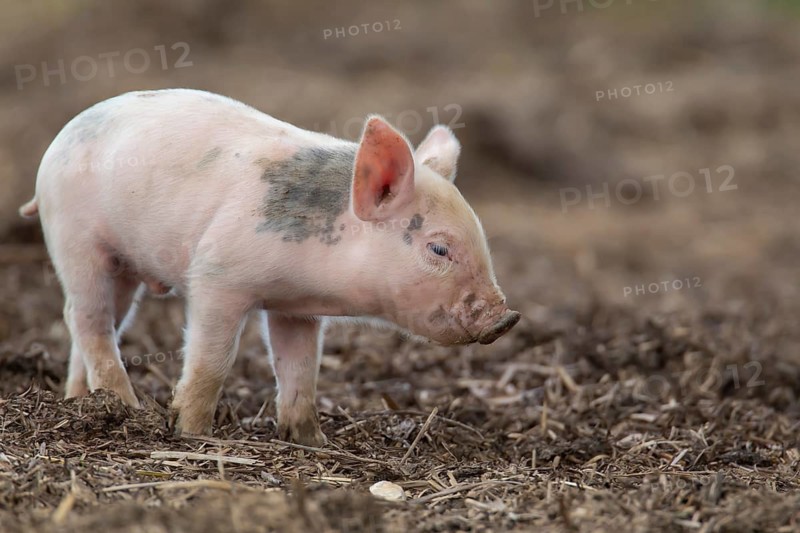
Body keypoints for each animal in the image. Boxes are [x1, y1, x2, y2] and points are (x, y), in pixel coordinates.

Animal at [19, 89, 520, 446]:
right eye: (439, 249)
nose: (507, 317)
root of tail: (59, 141)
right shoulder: (216, 275)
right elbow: (213, 360)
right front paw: (191, 432)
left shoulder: (296, 310)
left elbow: (301, 369)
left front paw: (311, 441)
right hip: (77, 241)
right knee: (86, 317)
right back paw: (126, 406)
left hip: (121, 265)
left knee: (95, 323)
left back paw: (80, 400)